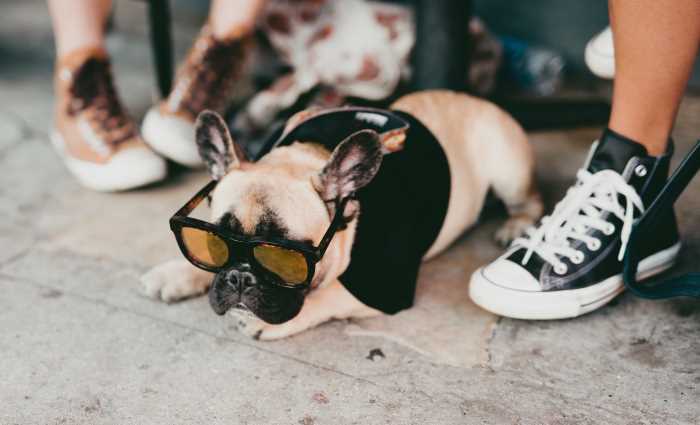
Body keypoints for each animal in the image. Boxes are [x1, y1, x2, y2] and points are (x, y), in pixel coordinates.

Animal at [142, 89, 540, 338]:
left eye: (284, 261)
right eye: (215, 244)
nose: (240, 277)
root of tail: (478, 99)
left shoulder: (383, 286)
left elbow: (329, 294)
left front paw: (269, 324)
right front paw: (177, 273)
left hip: (508, 171)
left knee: (529, 201)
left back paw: (515, 225)